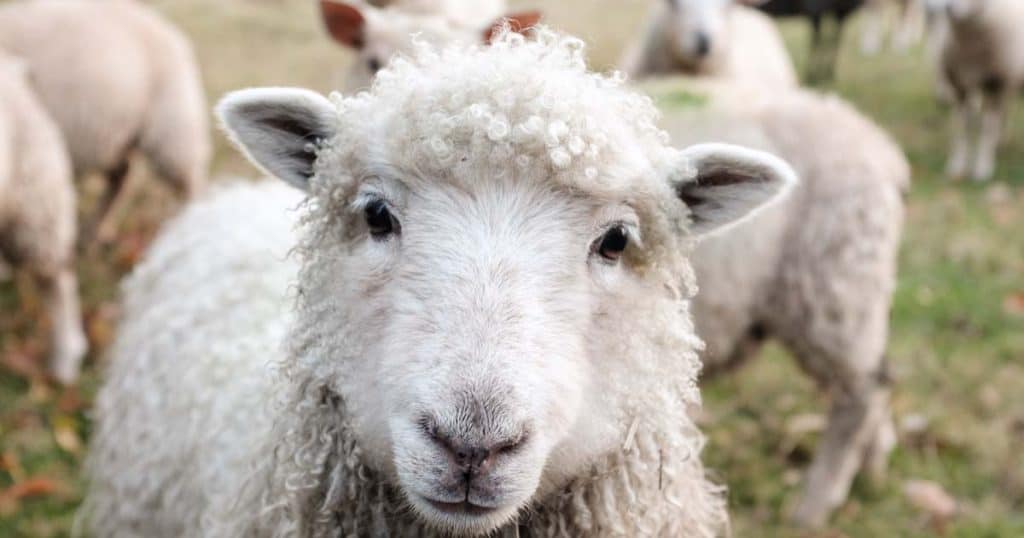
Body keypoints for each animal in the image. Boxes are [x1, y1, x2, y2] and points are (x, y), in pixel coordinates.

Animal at [0, 0, 210, 242]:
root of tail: (166, 27)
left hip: (172, 125)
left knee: (189, 180)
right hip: (114, 136)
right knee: (121, 177)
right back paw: (96, 230)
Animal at [934, 0, 1024, 181]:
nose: (948, 8)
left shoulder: (995, 84)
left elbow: (987, 128)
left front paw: (983, 169)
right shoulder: (960, 86)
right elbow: (961, 127)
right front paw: (957, 166)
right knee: (1005, 112)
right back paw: (1001, 142)